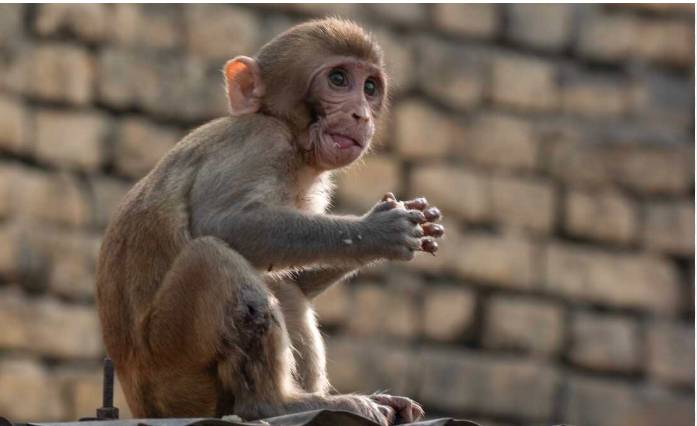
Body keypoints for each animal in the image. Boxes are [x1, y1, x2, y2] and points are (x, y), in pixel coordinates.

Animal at [96, 18, 445, 426]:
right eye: (339, 79)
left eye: (369, 87)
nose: (361, 114)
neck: (289, 133)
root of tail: (136, 396)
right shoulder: (262, 142)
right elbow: (224, 222)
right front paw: (380, 231)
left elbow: (292, 274)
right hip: (172, 368)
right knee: (211, 257)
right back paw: (274, 404)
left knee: (285, 291)